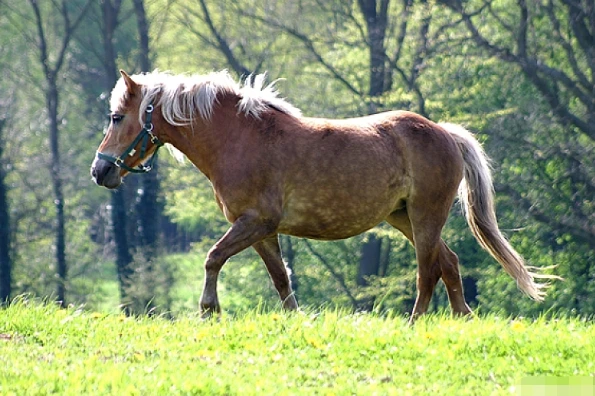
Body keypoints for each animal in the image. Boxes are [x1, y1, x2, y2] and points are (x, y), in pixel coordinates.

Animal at [91, 69, 552, 322]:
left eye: (116, 117)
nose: (100, 171)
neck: (240, 139)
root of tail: (444, 131)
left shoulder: (254, 222)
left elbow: (212, 258)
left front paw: (209, 309)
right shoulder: (262, 231)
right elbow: (281, 279)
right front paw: (298, 320)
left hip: (425, 217)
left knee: (427, 274)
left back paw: (416, 324)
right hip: (403, 218)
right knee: (450, 263)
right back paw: (462, 319)